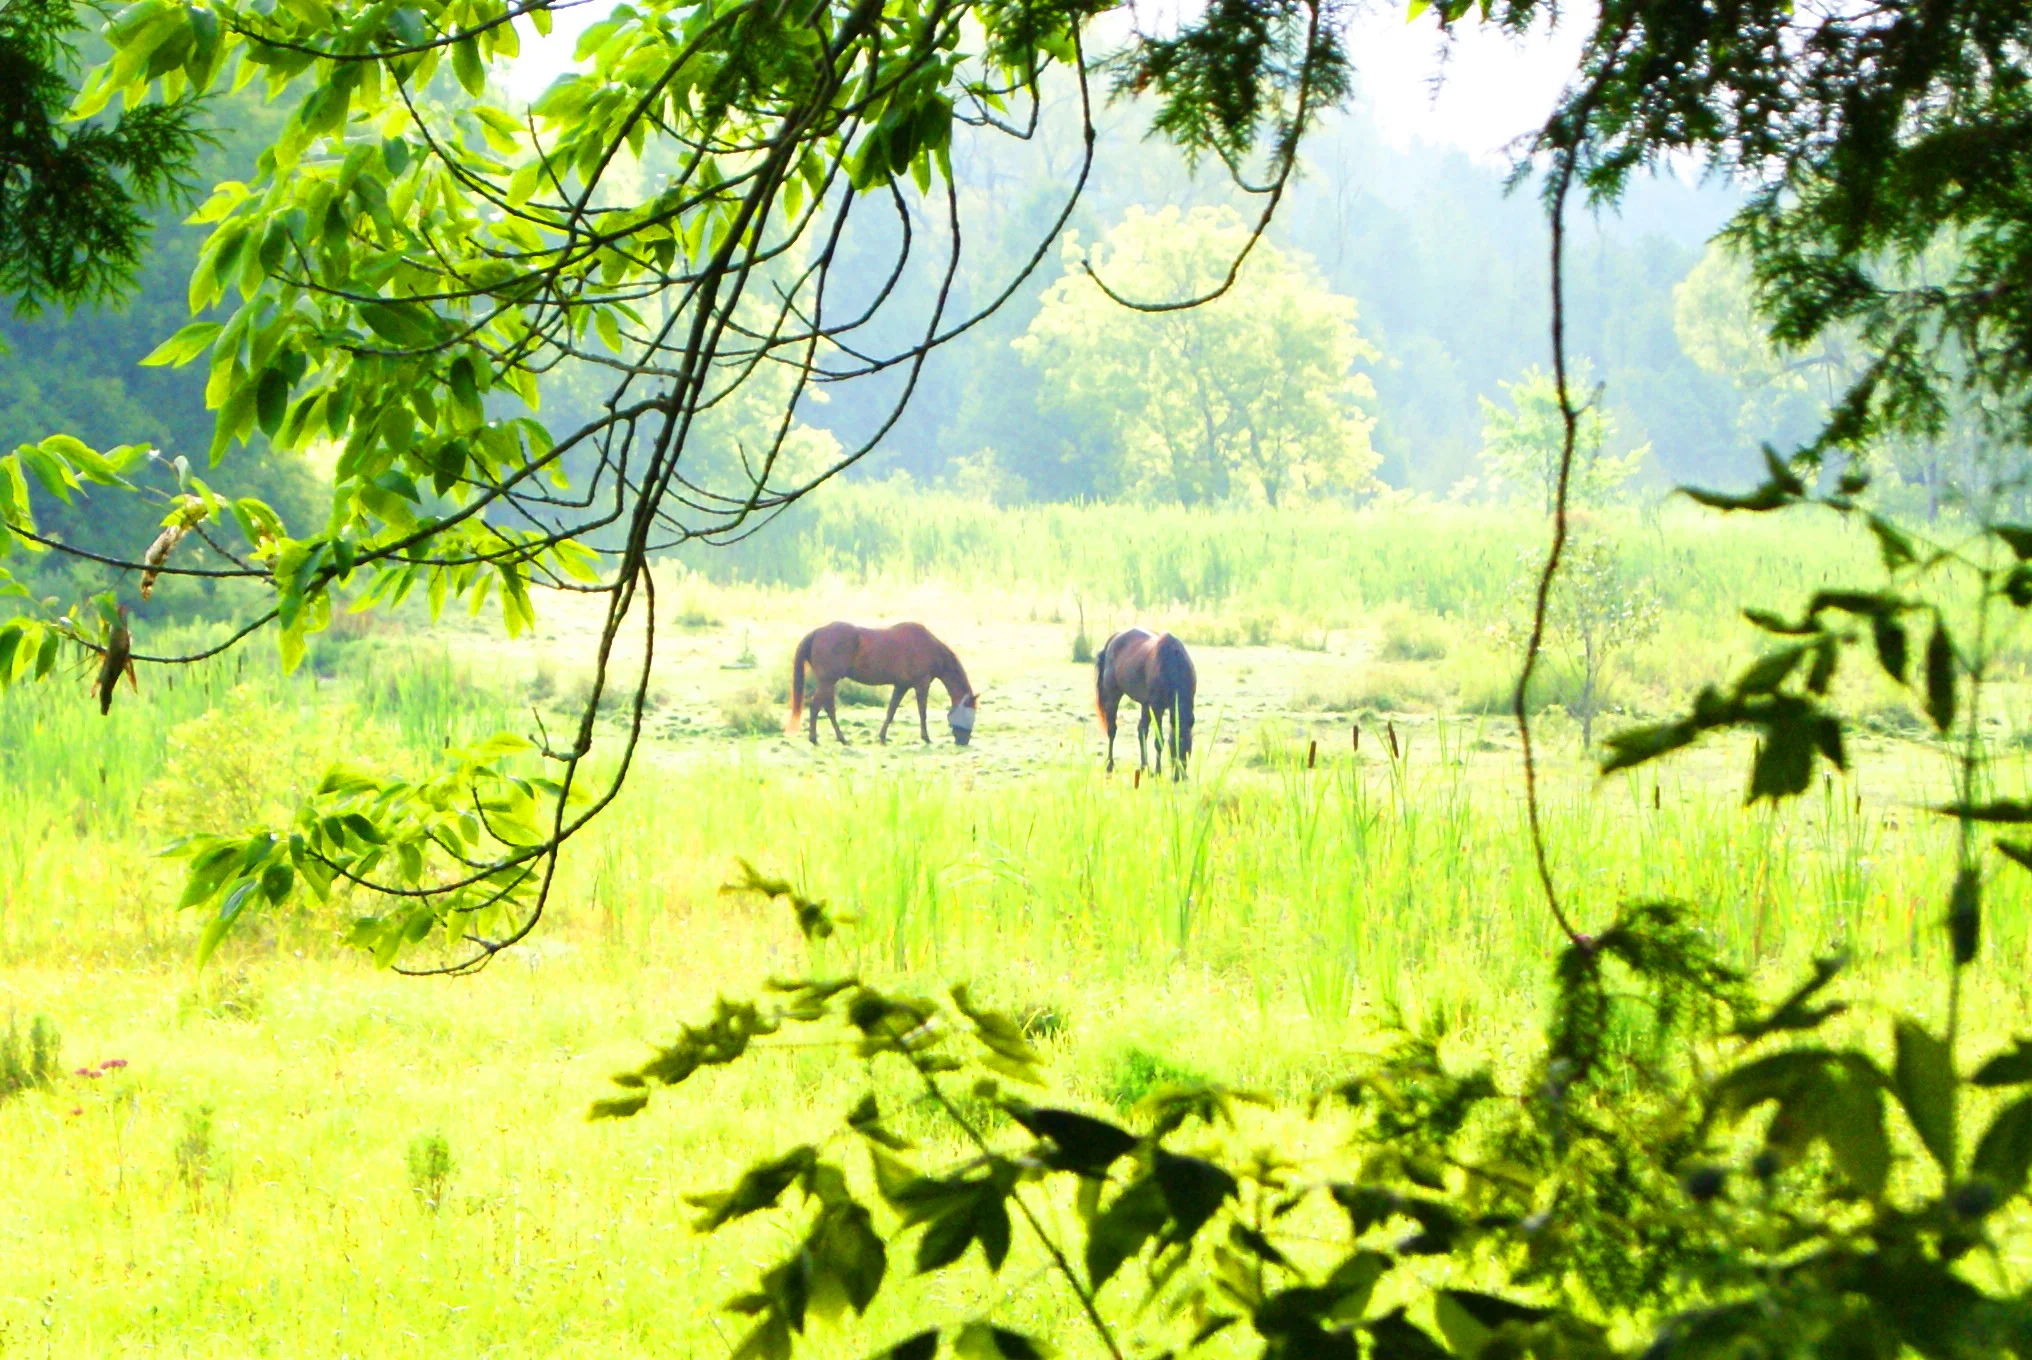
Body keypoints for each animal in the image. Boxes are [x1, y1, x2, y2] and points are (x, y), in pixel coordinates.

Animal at [789, 621, 980, 746]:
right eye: (970, 713)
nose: (963, 741)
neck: (929, 648)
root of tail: (817, 632)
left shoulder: (901, 686)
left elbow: (891, 711)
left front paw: (882, 737)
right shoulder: (921, 685)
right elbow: (922, 712)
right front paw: (925, 737)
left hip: (828, 683)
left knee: (827, 707)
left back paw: (839, 738)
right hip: (827, 681)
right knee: (817, 706)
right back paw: (817, 738)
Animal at [1095, 628, 1196, 779]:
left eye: (1188, 749)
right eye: (1173, 747)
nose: (1179, 778)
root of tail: (1115, 638)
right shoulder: (1157, 708)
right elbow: (1159, 742)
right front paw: (1158, 772)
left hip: (1144, 704)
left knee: (1141, 730)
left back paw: (1144, 767)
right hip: (1114, 696)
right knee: (1112, 730)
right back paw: (1110, 766)